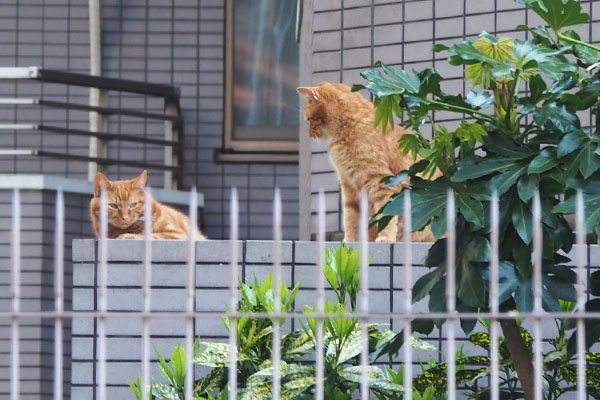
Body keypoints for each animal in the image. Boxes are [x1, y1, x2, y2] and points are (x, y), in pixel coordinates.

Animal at [298, 83, 436, 242]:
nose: (310, 135)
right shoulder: (349, 185)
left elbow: (385, 214)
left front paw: (385, 237)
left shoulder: (381, 182)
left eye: (309, 120)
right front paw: (350, 240)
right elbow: (350, 217)